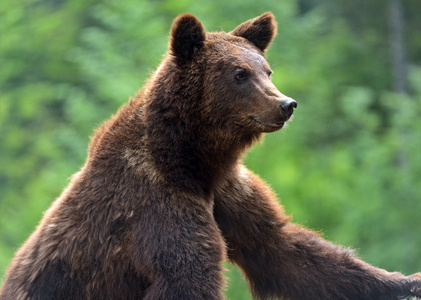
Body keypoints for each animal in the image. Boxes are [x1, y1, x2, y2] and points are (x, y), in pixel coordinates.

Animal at [0, 11, 420, 300]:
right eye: (239, 73)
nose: (286, 104)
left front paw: (403, 280)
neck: (192, 160)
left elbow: (285, 250)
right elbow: (188, 276)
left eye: (267, 69)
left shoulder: (229, 192)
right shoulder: (159, 208)